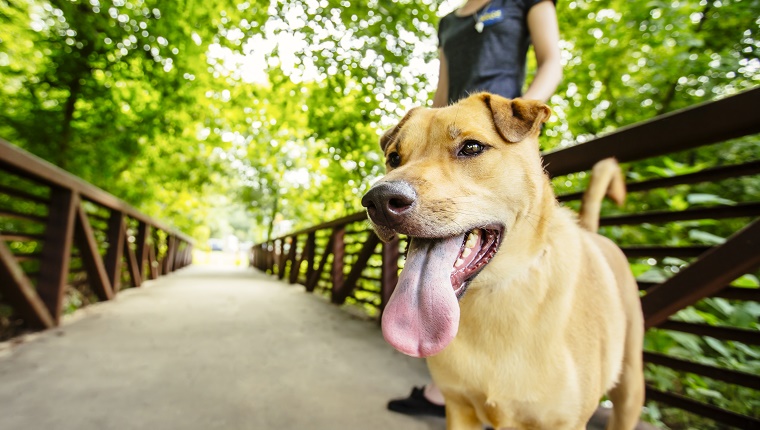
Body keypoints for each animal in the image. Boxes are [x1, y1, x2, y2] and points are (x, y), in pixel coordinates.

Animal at [360, 94, 640, 430]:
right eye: (394, 157)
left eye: (471, 147)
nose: (378, 201)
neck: (493, 295)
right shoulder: (458, 407)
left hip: (630, 388)